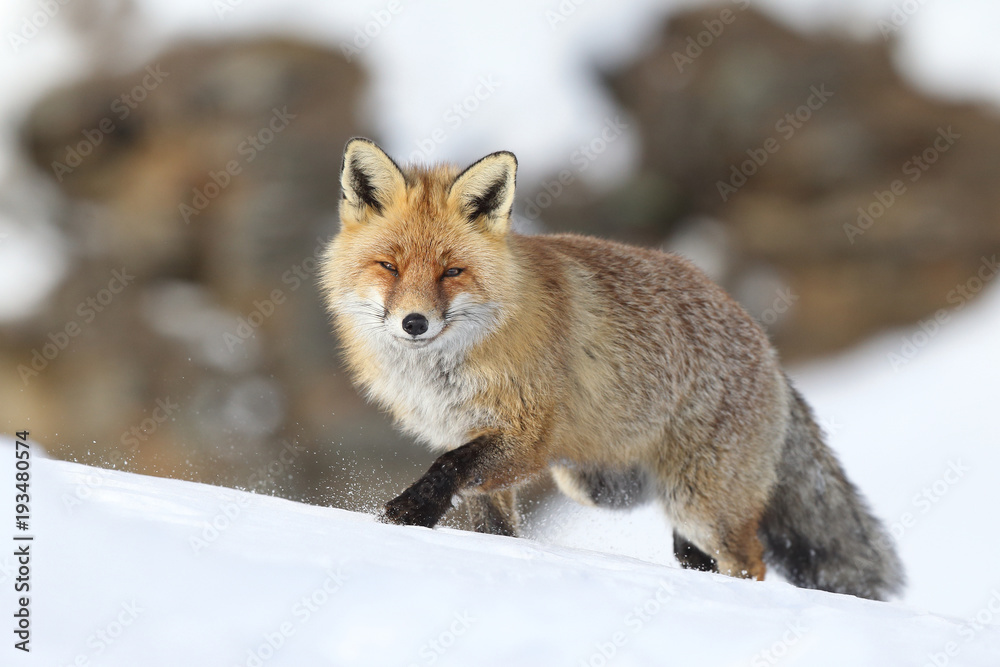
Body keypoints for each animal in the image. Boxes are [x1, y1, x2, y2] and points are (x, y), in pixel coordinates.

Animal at [320, 136, 908, 600]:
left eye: (452, 272)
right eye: (389, 266)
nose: (414, 323)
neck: (441, 372)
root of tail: (767, 347)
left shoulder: (526, 439)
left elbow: (448, 467)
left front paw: (407, 514)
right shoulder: (480, 442)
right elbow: (492, 524)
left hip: (698, 503)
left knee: (751, 561)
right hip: (606, 485)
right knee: (699, 556)